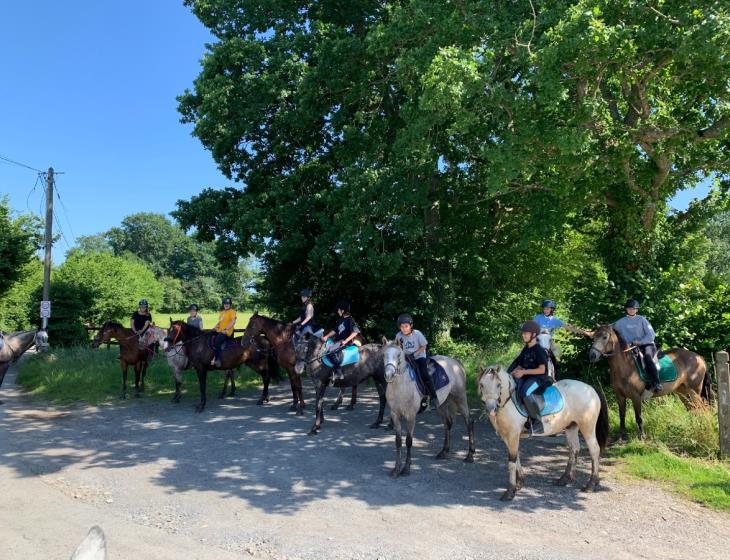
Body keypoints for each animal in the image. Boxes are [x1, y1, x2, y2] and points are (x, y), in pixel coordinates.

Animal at [378, 340, 474, 480]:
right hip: (442, 403)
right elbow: (398, 441)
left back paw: (470, 455)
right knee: (448, 423)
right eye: (383, 355)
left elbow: (408, 441)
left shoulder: (411, 416)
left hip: (460, 398)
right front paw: (396, 469)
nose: (388, 375)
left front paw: (406, 469)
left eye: (398, 355)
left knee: (469, 422)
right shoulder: (395, 415)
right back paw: (444, 452)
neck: (401, 386)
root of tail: (456, 363)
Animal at [474, 366, 604, 500]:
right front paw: (520, 483)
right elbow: (516, 457)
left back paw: (591, 484)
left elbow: (512, 461)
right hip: (571, 427)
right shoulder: (506, 436)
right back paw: (565, 479)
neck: (508, 403)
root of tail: (591, 389)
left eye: (499, 385)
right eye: (482, 384)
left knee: (594, 450)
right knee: (574, 449)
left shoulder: (513, 435)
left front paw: (510, 491)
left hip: (587, 427)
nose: (491, 409)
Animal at [584, 326, 712, 440]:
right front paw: (621, 436)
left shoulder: (636, 397)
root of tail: (699, 357)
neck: (625, 366)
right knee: (693, 409)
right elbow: (622, 416)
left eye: (605, 337)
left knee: (702, 409)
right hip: (683, 392)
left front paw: (642, 436)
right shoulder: (619, 396)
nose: (592, 356)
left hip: (694, 390)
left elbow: (638, 417)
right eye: (593, 338)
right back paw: (694, 427)